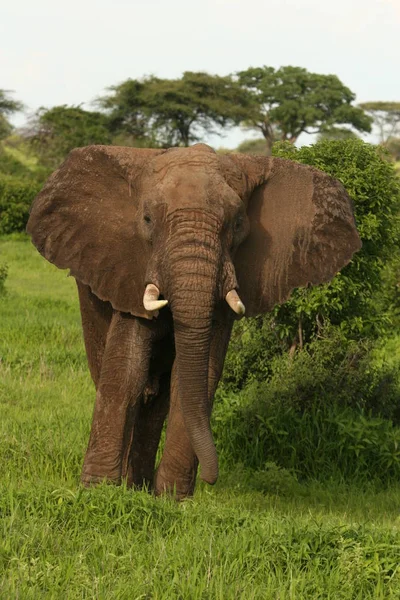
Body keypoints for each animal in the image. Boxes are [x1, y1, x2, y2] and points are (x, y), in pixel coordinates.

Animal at [26, 143, 360, 500]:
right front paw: (98, 493)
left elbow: (198, 376)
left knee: (158, 398)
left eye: (237, 223)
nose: (211, 479)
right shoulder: (128, 269)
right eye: (147, 220)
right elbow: (126, 371)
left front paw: (172, 499)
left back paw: (139, 487)